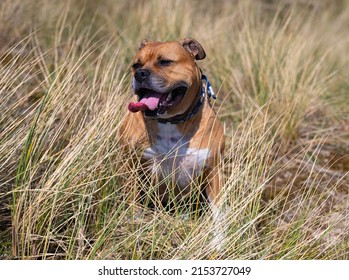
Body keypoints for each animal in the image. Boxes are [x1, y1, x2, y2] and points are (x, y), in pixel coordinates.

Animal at [119, 37, 223, 221]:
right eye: (136, 65)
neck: (170, 122)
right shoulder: (131, 166)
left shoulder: (213, 171)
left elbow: (218, 213)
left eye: (165, 62)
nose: (140, 74)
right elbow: (131, 199)